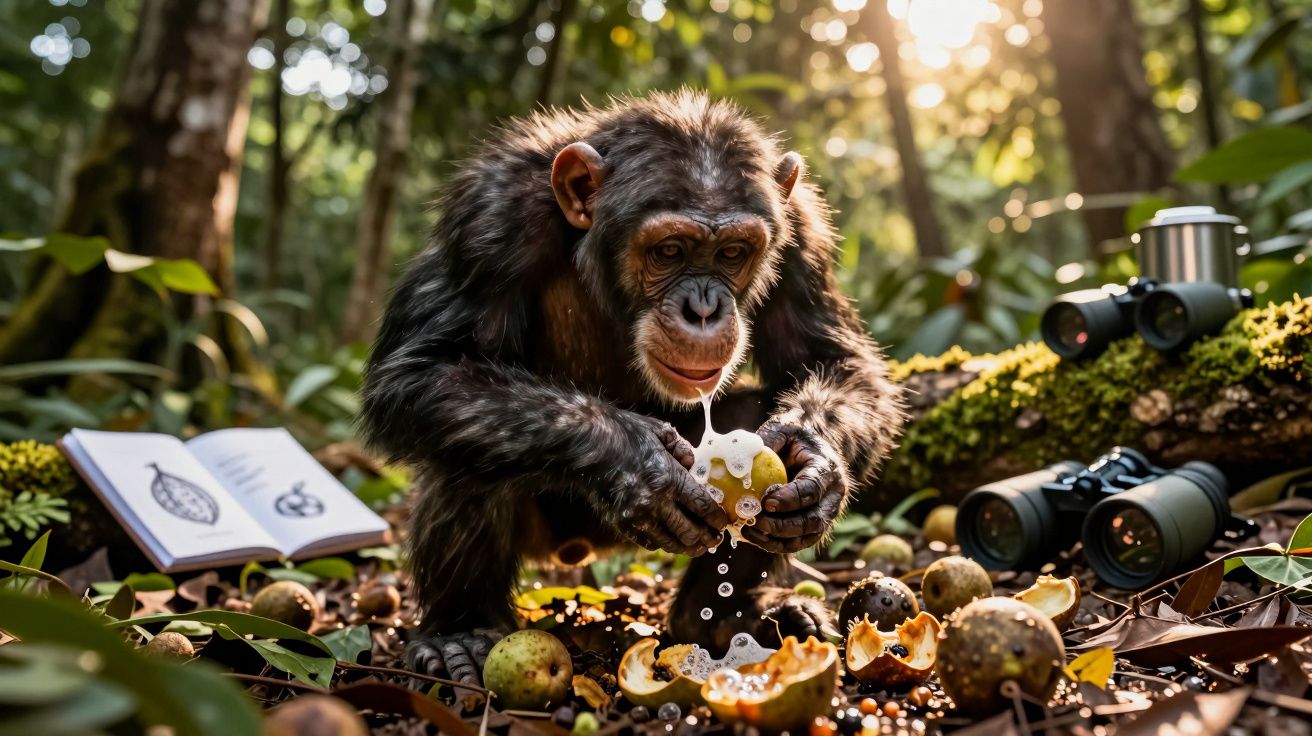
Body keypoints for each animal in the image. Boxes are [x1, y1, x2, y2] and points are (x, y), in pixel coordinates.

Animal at [360, 90, 904, 684]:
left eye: (733, 253)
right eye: (669, 251)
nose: (703, 309)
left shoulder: (803, 229)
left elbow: (835, 361)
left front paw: (815, 464)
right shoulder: (489, 216)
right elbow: (425, 370)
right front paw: (638, 462)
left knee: (750, 413)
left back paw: (723, 619)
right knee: (460, 437)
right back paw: (460, 632)